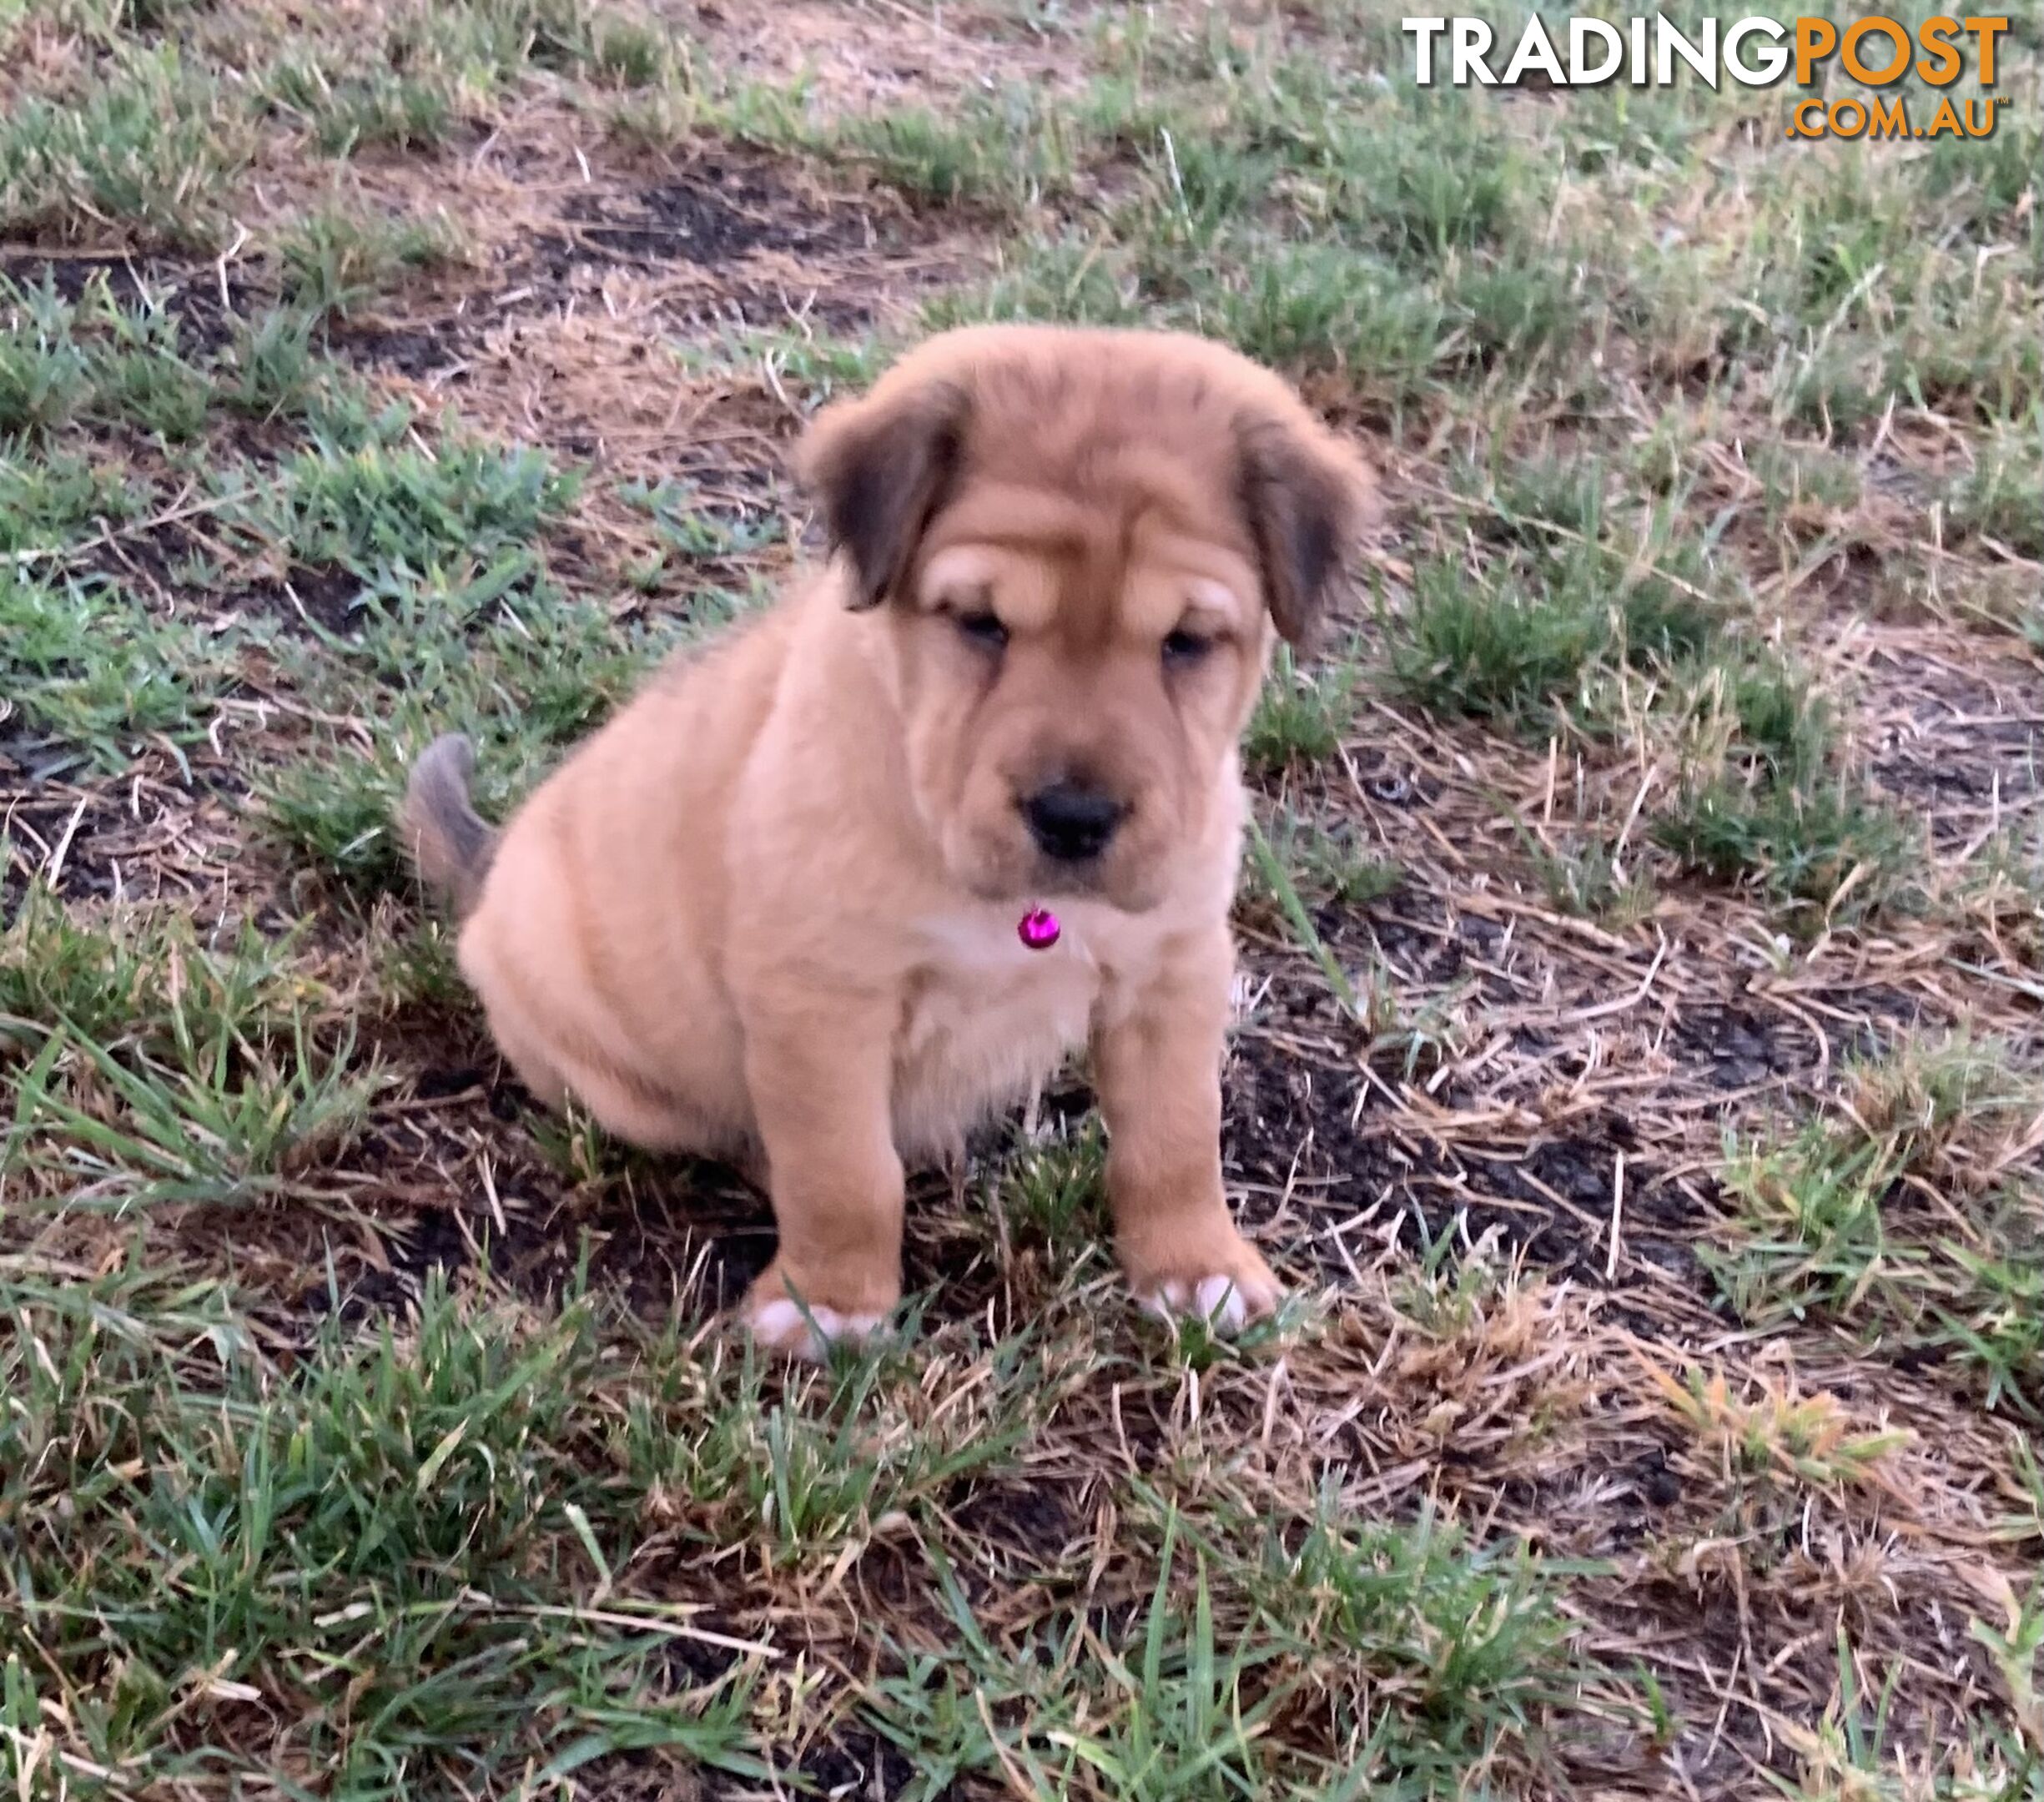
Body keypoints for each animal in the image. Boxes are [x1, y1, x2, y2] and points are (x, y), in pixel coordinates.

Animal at [398, 326, 1373, 1364]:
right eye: (980, 623)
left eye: (1185, 640)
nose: (1071, 817)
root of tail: (491, 867)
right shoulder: (822, 1000)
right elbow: (844, 1168)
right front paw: (830, 1301)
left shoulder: (1173, 970)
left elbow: (1177, 1139)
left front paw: (1196, 1269)